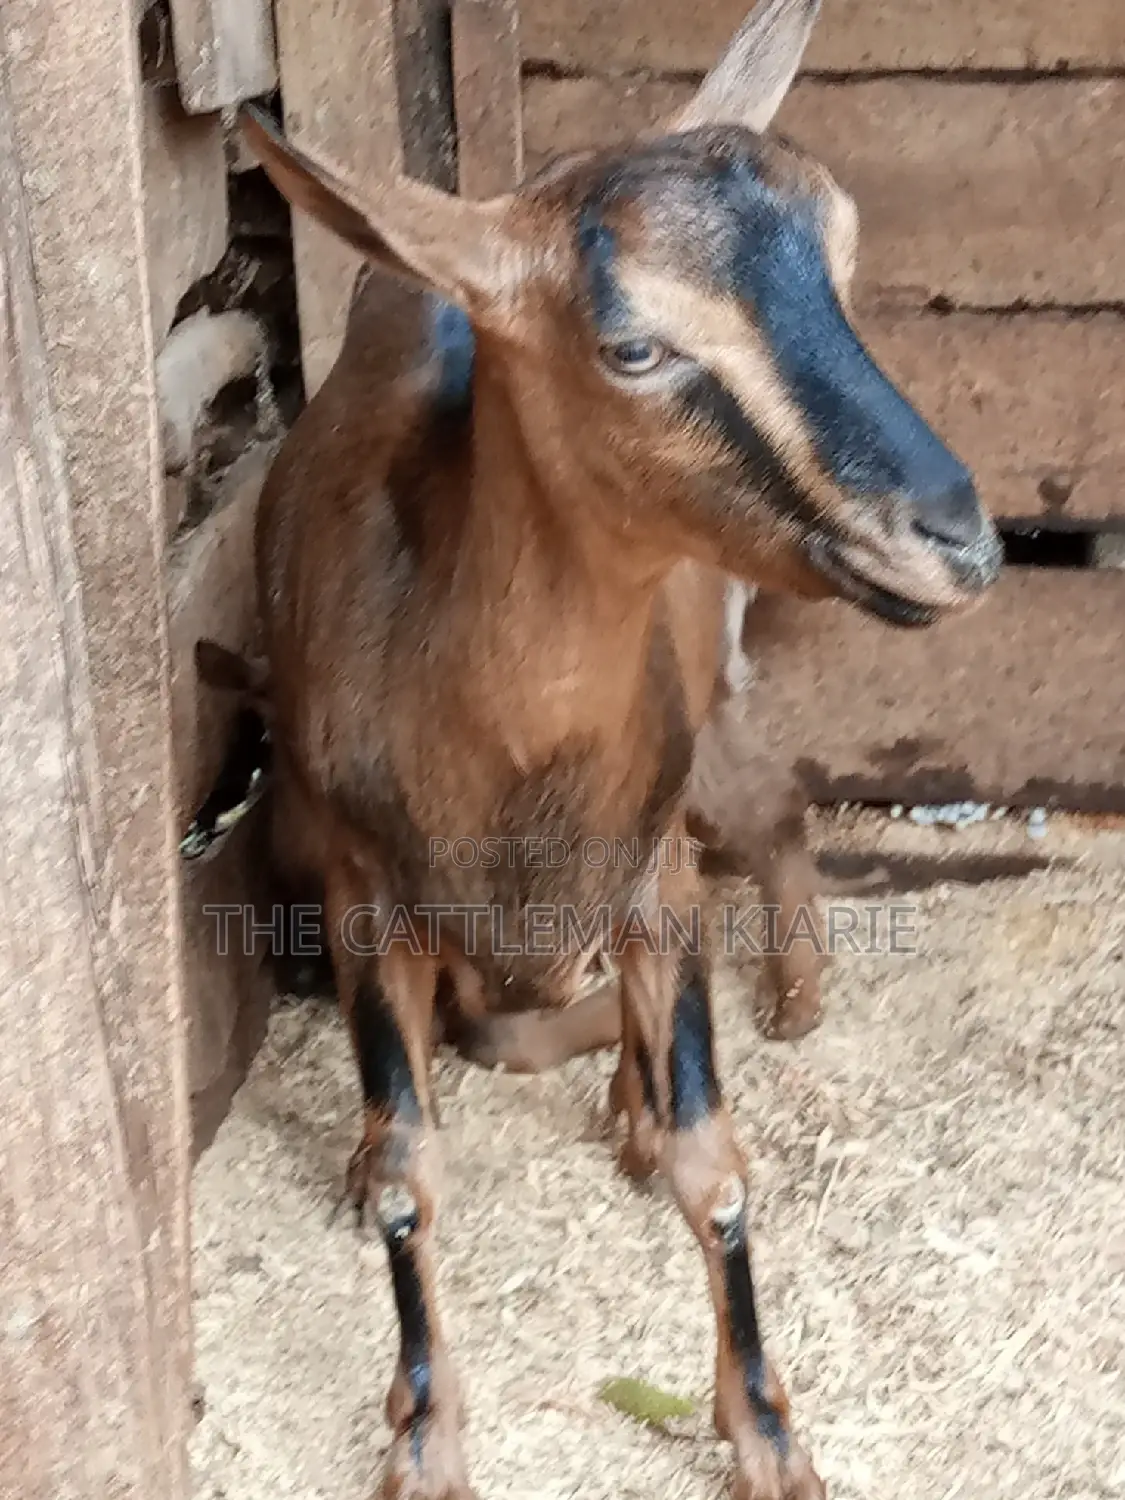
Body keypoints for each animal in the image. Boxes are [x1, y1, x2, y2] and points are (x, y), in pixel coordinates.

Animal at [228, 0, 1002, 1490]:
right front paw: (425, 1435)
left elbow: (718, 1163)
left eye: (841, 261)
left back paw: (720, 1049)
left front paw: (766, 1432)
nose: (956, 540)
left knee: (763, 818)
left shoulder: (649, 871)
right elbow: (410, 1168)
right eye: (633, 345)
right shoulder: (366, 895)